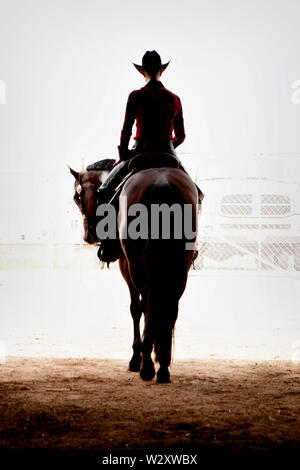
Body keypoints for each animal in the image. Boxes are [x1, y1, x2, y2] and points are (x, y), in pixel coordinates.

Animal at [69, 157, 198, 382]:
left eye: (77, 197)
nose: (89, 236)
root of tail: (162, 183)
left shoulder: (126, 265)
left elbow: (135, 308)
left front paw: (136, 358)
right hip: (180, 268)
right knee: (170, 307)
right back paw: (162, 366)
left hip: (138, 267)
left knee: (147, 305)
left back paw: (146, 365)